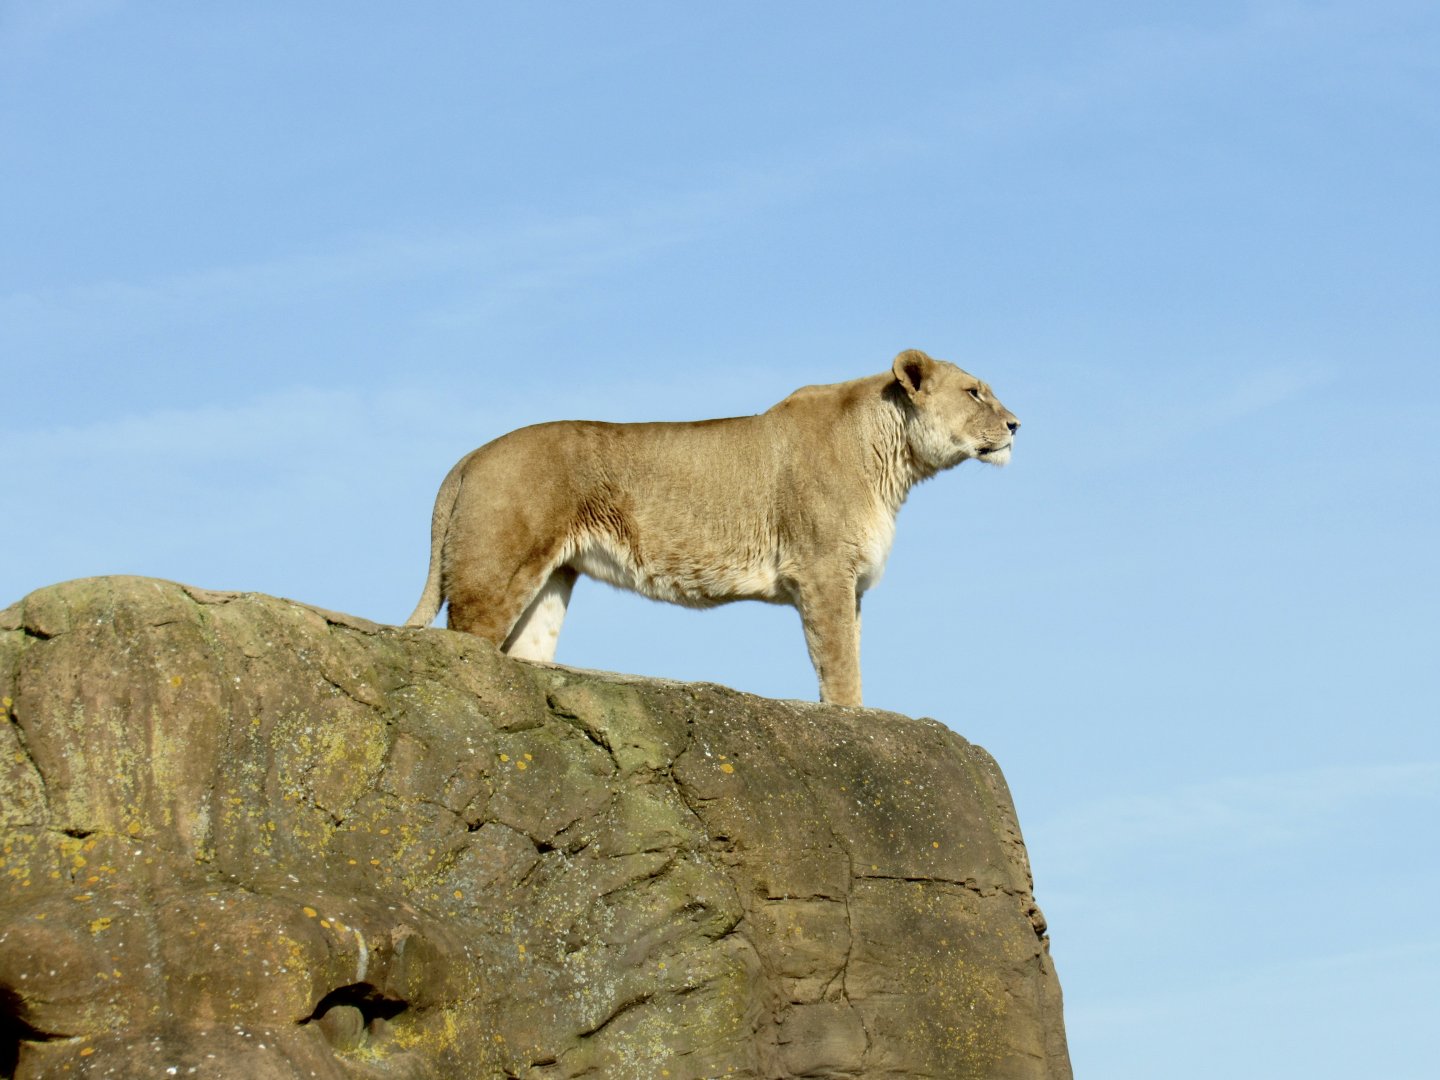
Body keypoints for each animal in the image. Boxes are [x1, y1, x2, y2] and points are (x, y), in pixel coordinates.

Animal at [405, 349, 1019, 705]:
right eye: (974, 392)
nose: (1017, 424)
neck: (895, 460)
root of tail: (470, 458)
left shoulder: (849, 583)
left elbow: (849, 655)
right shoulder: (822, 571)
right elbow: (841, 664)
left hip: (548, 585)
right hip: (493, 578)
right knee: (466, 643)